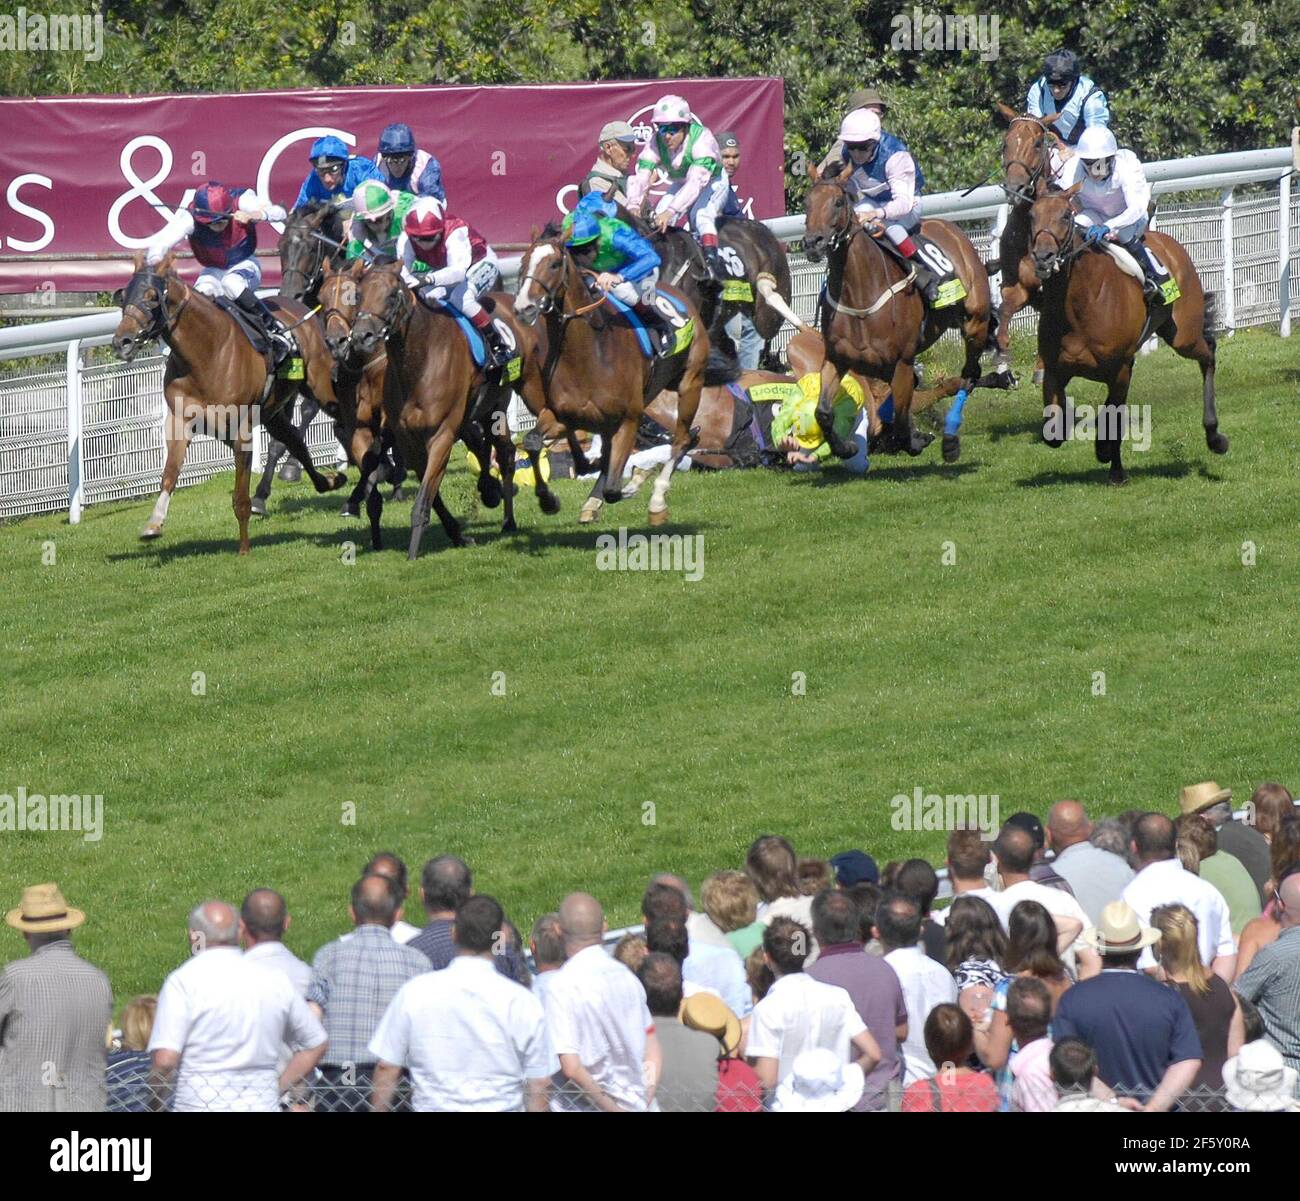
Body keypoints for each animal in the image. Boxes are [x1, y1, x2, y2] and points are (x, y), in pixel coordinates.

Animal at [111, 256, 348, 556]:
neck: (205, 354)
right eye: (123, 296)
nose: (122, 342)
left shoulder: (241, 431)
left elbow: (240, 497)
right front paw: (153, 524)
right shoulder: (180, 422)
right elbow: (169, 475)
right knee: (294, 439)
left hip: (320, 386)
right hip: (273, 413)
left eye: (152, 297)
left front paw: (244, 548)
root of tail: (301, 308)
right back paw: (328, 481)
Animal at [512, 224, 712, 525]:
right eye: (523, 263)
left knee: (681, 440)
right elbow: (533, 441)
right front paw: (548, 500)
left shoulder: (629, 419)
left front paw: (636, 480)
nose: (523, 307)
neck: (589, 355)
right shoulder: (563, 415)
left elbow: (614, 490)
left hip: (691, 383)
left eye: (555, 264)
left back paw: (656, 499)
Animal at [795, 168, 987, 465]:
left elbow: (899, 421)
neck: (860, 296)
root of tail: (951, 228)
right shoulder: (837, 358)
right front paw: (846, 447)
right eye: (807, 202)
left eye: (837, 202)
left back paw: (951, 441)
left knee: (969, 375)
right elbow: (823, 412)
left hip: (975, 323)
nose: (813, 243)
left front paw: (916, 441)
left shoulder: (903, 362)